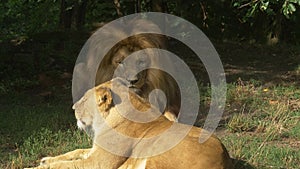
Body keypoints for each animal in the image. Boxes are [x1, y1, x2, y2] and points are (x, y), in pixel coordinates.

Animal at [26, 78, 232, 169]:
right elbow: (74, 153)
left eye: (84, 100)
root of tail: (225, 160)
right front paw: (46, 159)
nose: (73, 106)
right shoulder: (95, 151)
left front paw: (40, 166)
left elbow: (69, 165)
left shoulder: (99, 162)